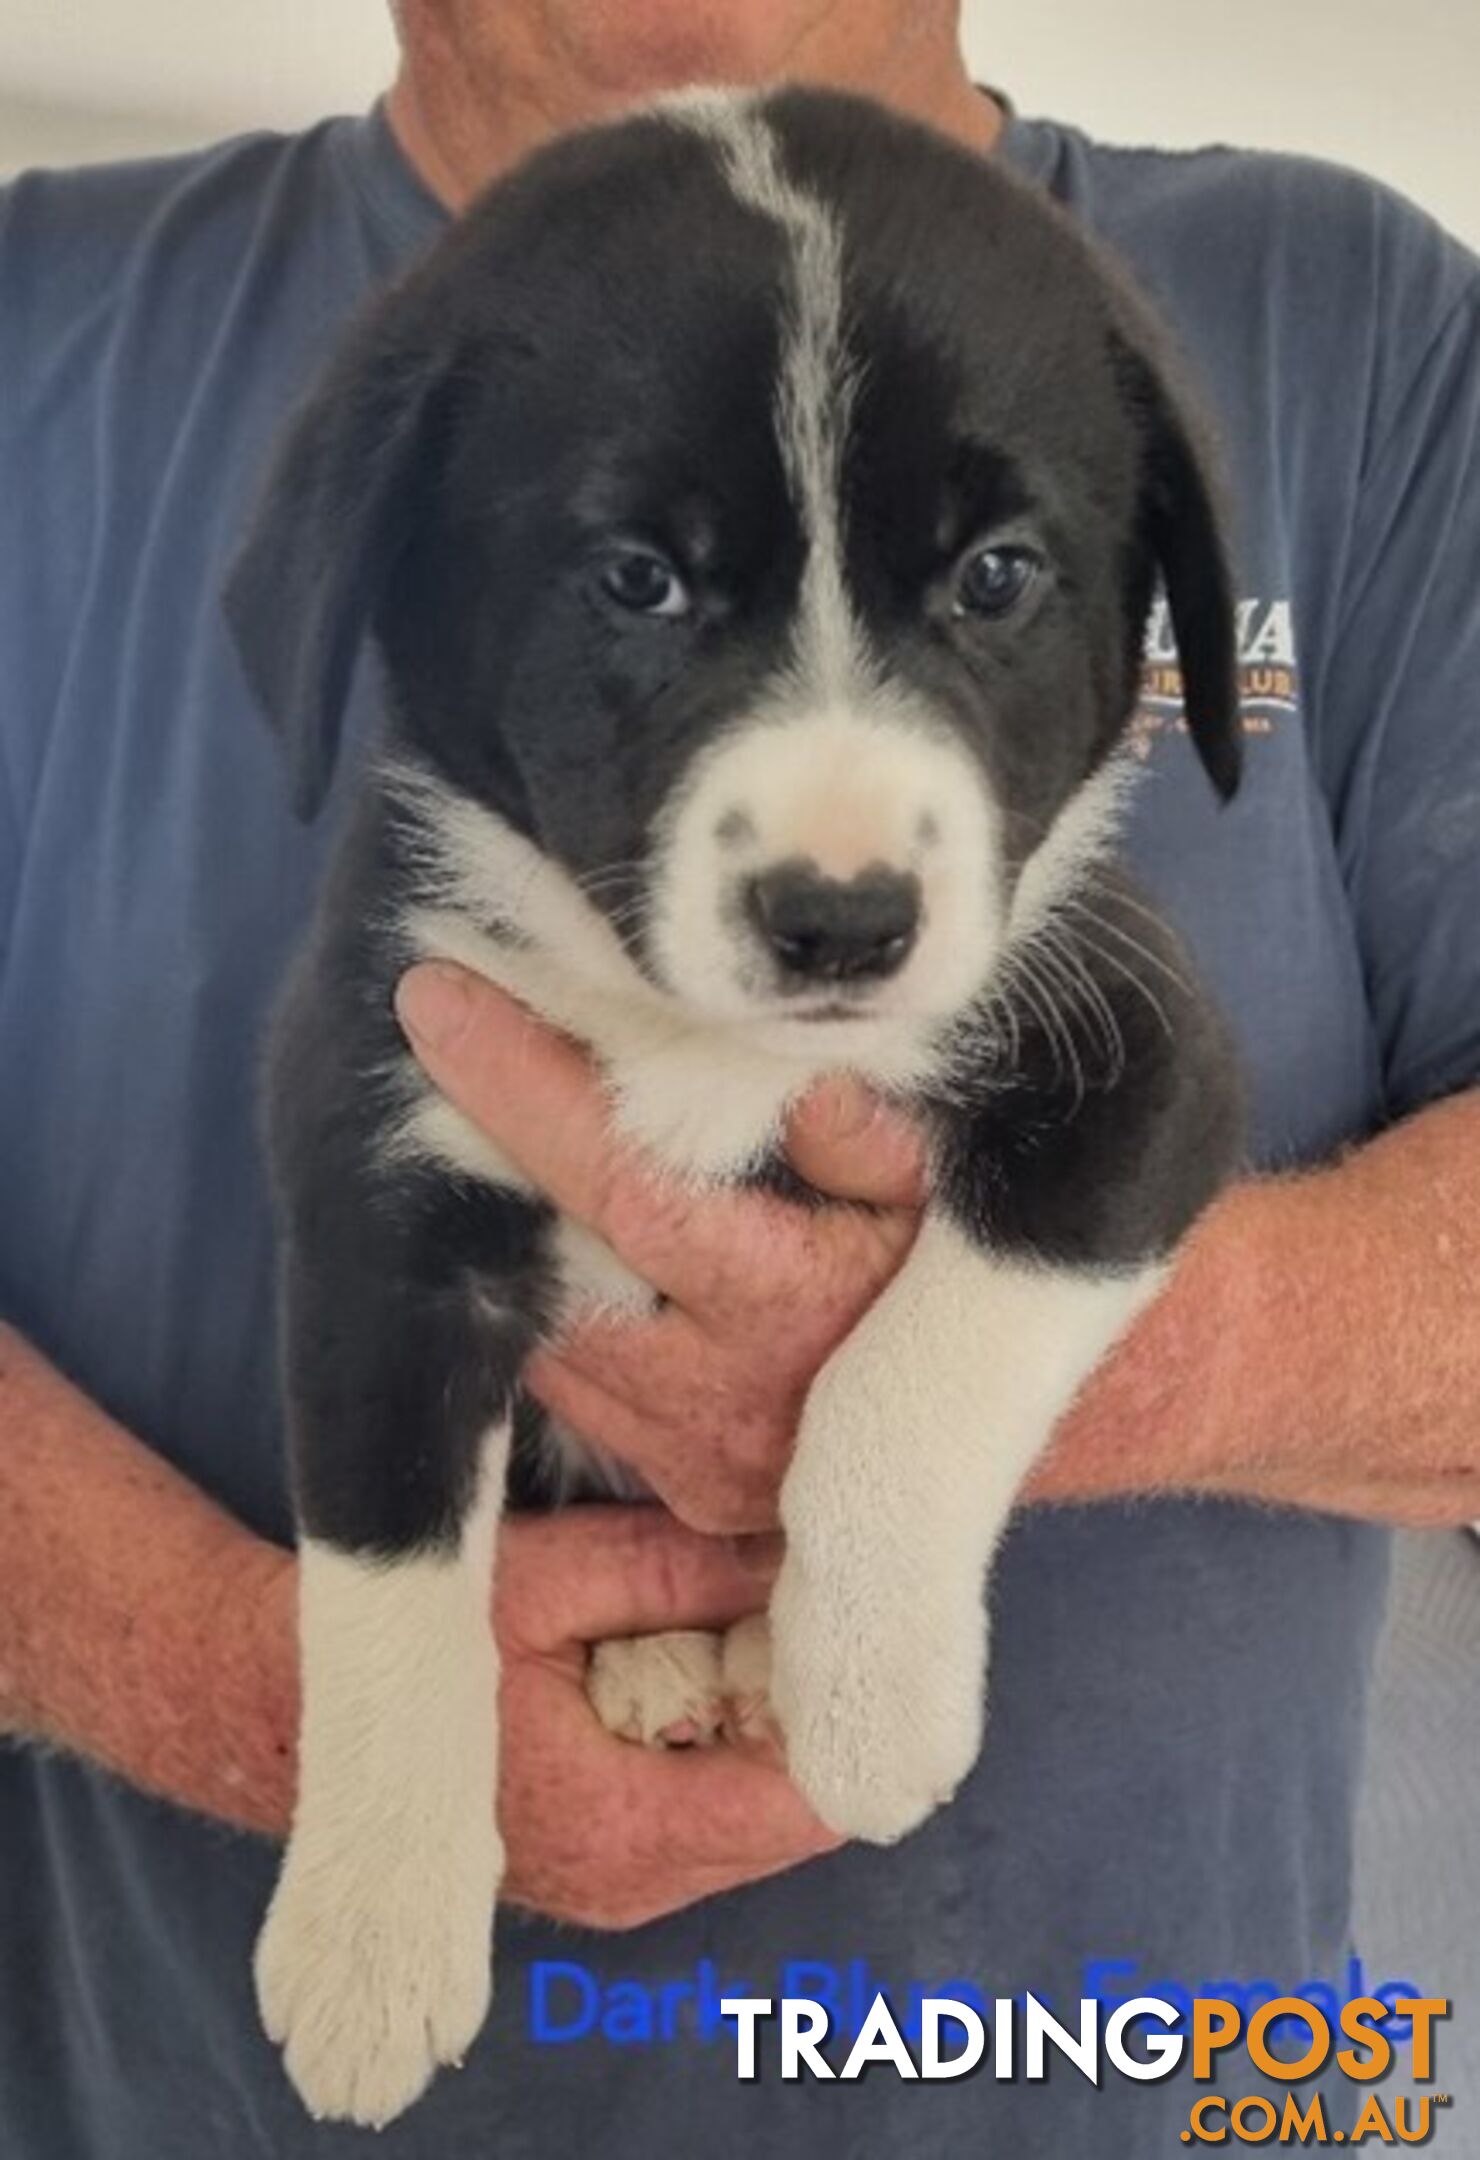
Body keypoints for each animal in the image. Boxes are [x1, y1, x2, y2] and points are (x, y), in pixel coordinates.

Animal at [224, 79, 1244, 2125]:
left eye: (997, 576)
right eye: (640, 577)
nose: (841, 920)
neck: (707, 1048)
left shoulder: (1142, 1052)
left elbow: (912, 1372)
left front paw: (866, 1694)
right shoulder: (377, 1174)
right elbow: (377, 1573)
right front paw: (368, 1930)